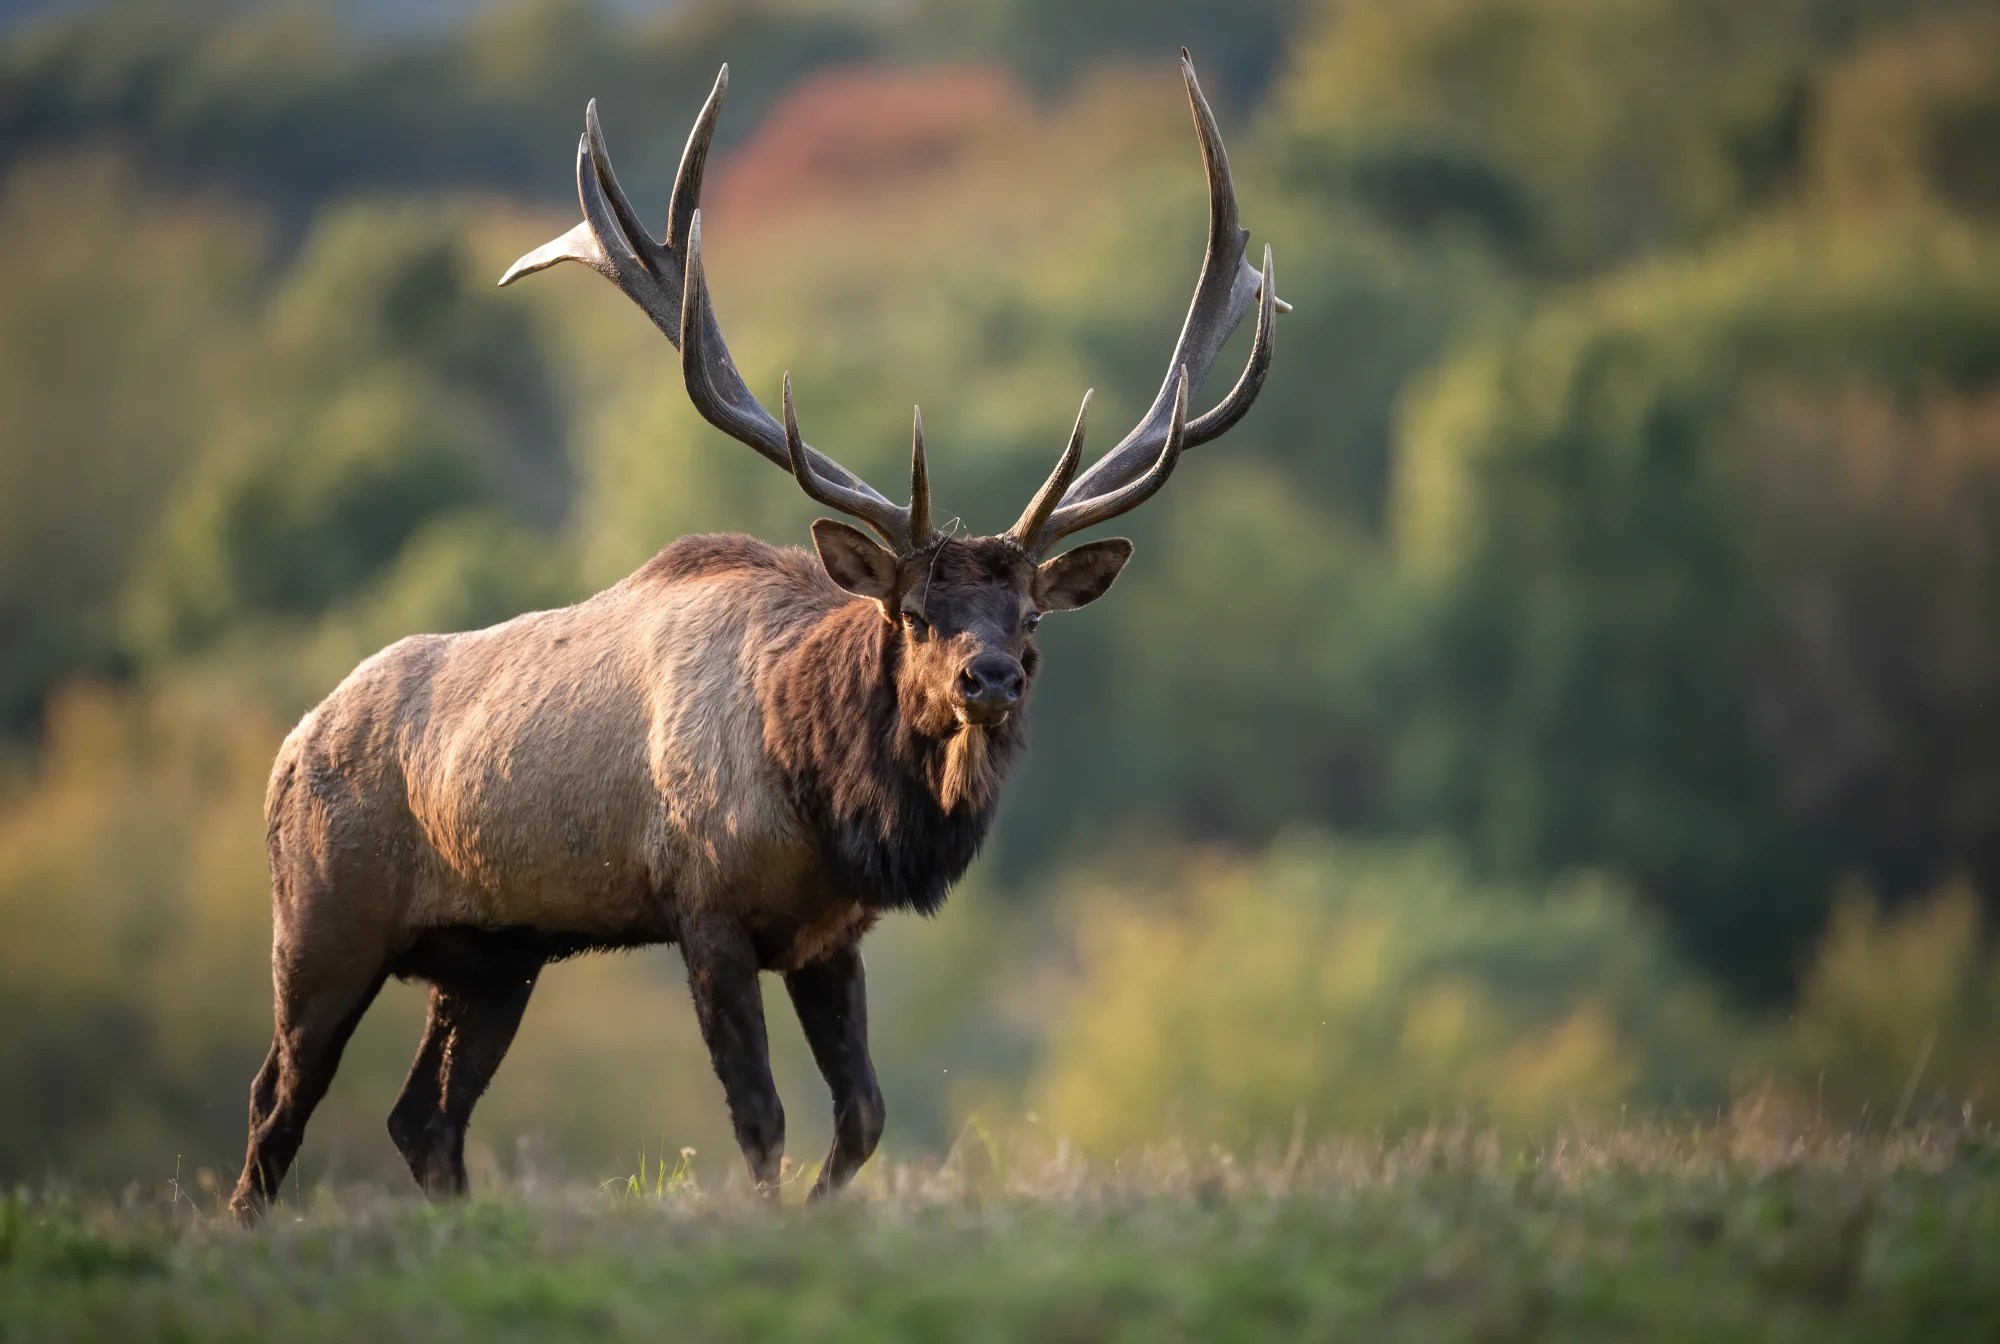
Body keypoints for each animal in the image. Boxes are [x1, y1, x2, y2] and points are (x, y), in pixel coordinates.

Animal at [229, 50, 1280, 1223]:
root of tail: (290, 747)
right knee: (275, 1103)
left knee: (424, 1121)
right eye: (912, 615)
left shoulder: (830, 935)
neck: (819, 791)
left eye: (1031, 615)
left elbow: (863, 1117)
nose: (991, 679)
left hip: (494, 954)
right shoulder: (707, 909)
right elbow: (760, 1117)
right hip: (321, 923)